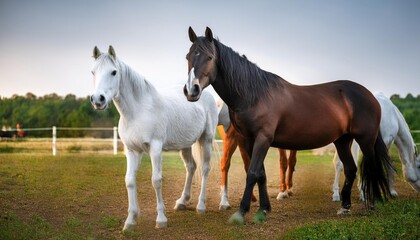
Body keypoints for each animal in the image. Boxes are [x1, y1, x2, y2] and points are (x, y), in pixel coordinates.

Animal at [90, 45, 218, 231]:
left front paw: (161, 219)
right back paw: (182, 202)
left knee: (205, 168)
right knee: (191, 167)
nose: (97, 100)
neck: (138, 112)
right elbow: (129, 181)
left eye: (114, 72)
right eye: (93, 71)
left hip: (206, 139)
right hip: (185, 144)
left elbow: (156, 180)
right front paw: (130, 221)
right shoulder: (132, 151)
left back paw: (201, 206)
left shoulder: (155, 149)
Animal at [182, 27, 392, 224]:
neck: (255, 94)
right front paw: (263, 209)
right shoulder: (250, 140)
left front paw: (241, 213)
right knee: (350, 169)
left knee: (371, 168)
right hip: (342, 141)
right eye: (188, 57)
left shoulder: (263, 139)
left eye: (209, 57)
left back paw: (373, 203)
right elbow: (261, 174)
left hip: (365, 140)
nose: (192, 90)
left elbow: (252, 173)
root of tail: (369, 95)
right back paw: (345, 207)